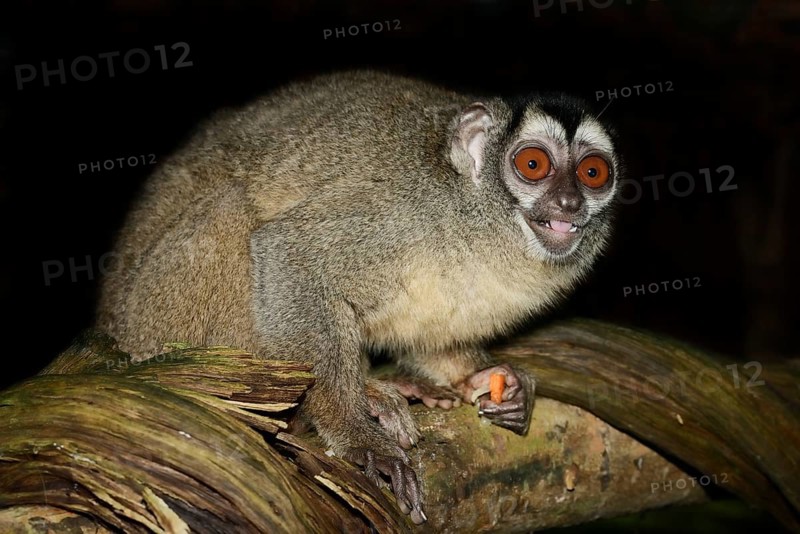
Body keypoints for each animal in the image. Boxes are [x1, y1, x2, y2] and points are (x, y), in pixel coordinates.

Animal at [95, 69, 621, 525]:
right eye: (533, 165)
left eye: (593, 173)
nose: (569, 203)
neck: (479, 224)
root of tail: (113, 335)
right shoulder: (399, 211)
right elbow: (290, 251)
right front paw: (355, 432)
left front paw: (489, 379)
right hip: (157, 316)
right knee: (233, 209)